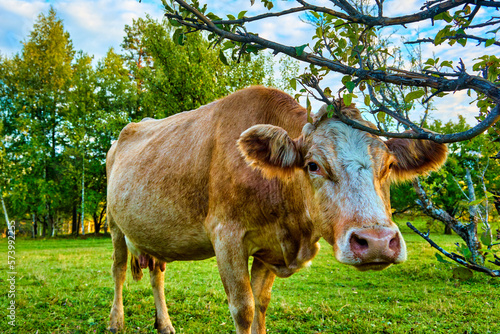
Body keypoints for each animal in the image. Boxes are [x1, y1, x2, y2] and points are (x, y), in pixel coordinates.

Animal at [106, 87, 450, 334]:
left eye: (389, 165)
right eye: (313, 165)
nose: (376, 242)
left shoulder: (269, 249)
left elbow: (261, 303)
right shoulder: (226, 236)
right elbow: (243, 309)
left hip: (151, 233)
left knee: (156, 274)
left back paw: (164, 324)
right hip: (114, 225)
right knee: (119, 270)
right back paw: (115, 321)